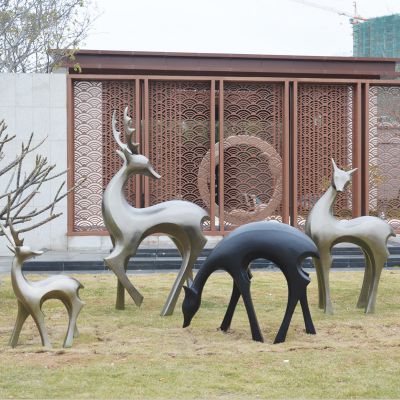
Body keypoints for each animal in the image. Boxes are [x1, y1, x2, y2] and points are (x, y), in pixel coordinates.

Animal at [102, 107, 209, 316]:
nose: (157, 175)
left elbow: (112, 262)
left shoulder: (130, 242)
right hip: (178, 237)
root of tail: (203, 214)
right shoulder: (115, 241)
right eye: (146, 162)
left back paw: (166, 310)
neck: (121, 210)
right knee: (188, 261)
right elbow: (118, 267)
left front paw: (139, 299)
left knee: (192, 256)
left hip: (193, 236)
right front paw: (120, 306)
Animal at [306, 161, 394, 314]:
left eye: (348, 180)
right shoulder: (316, 249)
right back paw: (361, 305)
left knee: (378, 264)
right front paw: (321, 306)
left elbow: (325, 268)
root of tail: (389, 229)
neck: (323, 216)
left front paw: (329, 311)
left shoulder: (325, 247)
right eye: (335, 175)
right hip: (366, 247)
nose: (340, 190)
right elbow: (318, 271)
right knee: (370, 265)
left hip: (378, 247)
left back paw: (369, 310)